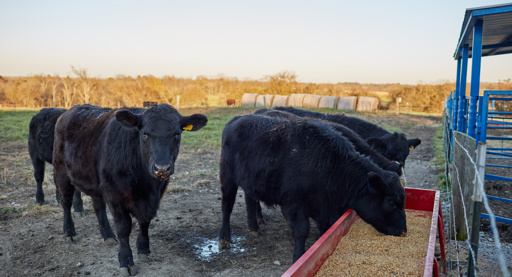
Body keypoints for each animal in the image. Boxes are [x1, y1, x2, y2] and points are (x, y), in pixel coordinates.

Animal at [53, 103, 207, 274]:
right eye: (145, 133)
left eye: (177, 134)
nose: (161, 168)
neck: (145, 182)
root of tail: (70, 111)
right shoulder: (115, 195)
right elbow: (124, 227)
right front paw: (126, 261)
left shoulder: (153, 197)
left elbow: (145, 221)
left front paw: (144, 250)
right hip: (61, 171)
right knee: (66, 201)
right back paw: (70, 232)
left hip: (95, 180)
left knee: (98, 206)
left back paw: (107, 235)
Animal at [218, 113, 406, 260]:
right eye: (392, 202)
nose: (404, 231)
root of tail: (235, 120)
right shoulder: (294, 204)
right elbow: (302, 230)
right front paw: (298, 257)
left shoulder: (323, 208)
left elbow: (326, 230)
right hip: (227, 177)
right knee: (227, 206)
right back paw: (224, 238)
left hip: (250, 180)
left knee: (250, 199)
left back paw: (255, 227)